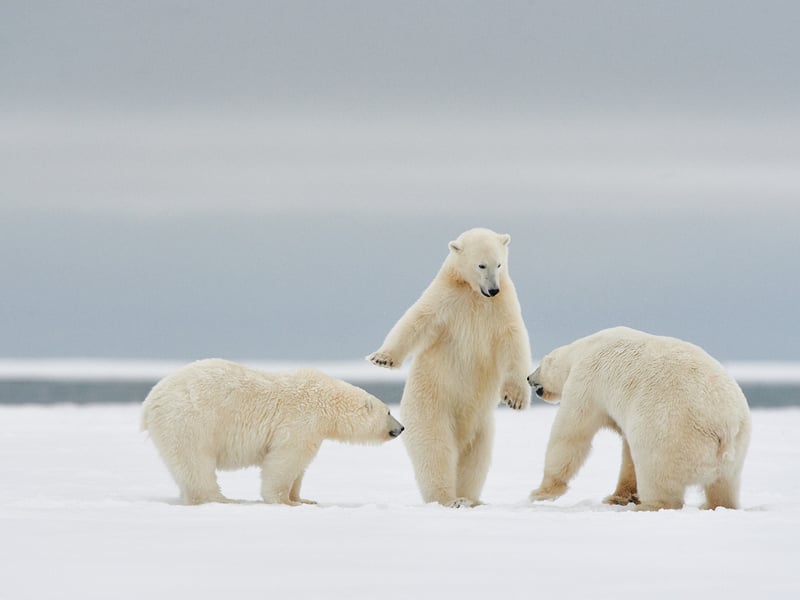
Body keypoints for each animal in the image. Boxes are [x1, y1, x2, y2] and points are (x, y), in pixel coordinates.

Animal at [141, 359, 404, 505]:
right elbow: (285, 460)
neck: (327, 400)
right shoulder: (301, 421)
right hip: (191, 421)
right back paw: (223, 499)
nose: (401, 428)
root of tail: (150, 401)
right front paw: (285, 501)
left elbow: (299, 468)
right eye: (389, 411)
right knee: (197, 463)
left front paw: (303, 498)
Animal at [368, 227, 532, 507]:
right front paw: (382, 358)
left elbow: (513, 343)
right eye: (481, 264)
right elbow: (416, 320)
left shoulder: (502, 308)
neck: (473, 294)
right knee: (436, 449)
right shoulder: (446, 299)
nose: (493, 289)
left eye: (499, 264)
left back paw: (471, 499)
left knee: (475, 459)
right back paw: (449, 498)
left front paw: (516, 399)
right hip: (431, 406)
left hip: (482, 425)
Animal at [526, 326, 752, 511]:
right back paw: (715, 504)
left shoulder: (586, 381)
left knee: (656, 473)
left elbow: (570, 433)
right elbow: (627, 453)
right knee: (724, 485)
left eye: (540, 365)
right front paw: (618, 497)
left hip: (670, 433)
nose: (528, 377)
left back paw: (649, 505)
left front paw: (540, 492)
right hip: (737, 449)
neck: (585, 347)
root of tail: (725, 427)